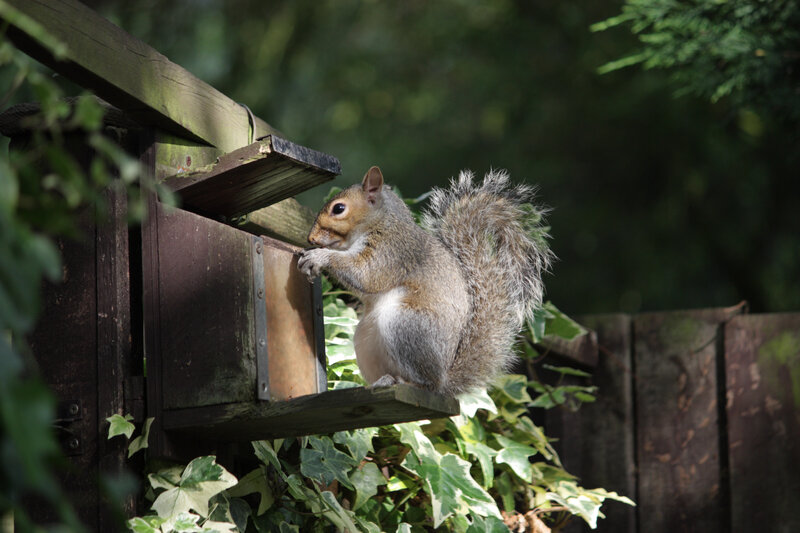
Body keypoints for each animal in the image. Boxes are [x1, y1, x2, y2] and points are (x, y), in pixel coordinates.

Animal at [297, 166, 551, 396]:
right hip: (365, 340)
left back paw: (408, 383)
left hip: (406, 324)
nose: (311, 238)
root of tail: (444, 381)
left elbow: (367, 274)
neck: (381, 222)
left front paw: (319, 257)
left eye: (339, 208)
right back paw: (381, 381)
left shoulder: (394, 251)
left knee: (425, 383)